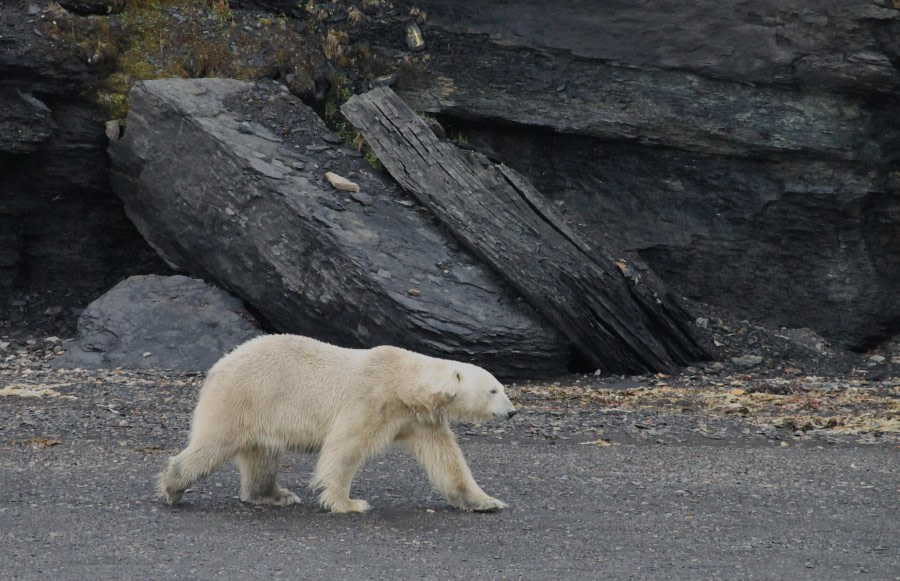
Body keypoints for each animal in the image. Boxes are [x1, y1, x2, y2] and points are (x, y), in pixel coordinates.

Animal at [158, 336, 516, 512]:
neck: (403, 382)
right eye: (494, 389)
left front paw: (485, 502)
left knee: (262, 454)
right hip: (244, 397)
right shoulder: (371, 400)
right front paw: (348, 503)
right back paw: (174, 486)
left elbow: (447, 460)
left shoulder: (419, 418)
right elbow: (345, 447)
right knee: (215, 443)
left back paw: (275, 495)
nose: (512, 412)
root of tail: (219, 364)